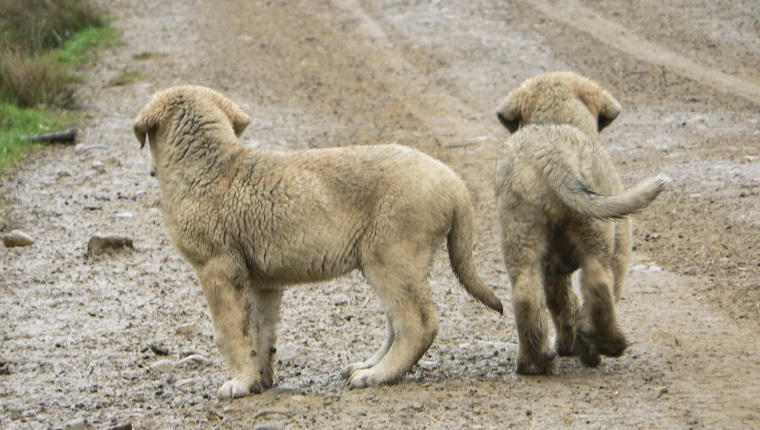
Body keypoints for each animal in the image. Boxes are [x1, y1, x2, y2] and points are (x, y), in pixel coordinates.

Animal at [135, 85, 504, 400]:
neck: (207, 167)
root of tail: (453, 181)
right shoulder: (261, 283)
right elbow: (261, 332)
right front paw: (260, 380)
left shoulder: (218, 268)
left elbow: (229, 331)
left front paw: (238, 383)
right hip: (390, 264)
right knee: (396, 322)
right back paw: (367, 366)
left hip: (391, 257)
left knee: (418, 323)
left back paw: (377, 375)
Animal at [496, 72, 668, 374]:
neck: (558, 118)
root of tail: (554, 157)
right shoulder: (621, 252)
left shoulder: (552, 268)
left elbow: (561, 303)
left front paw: (567, 344)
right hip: (597, 234)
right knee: (598, 282)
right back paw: (603, 345)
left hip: (521, 233)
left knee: (526, 292)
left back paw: (534, 362)